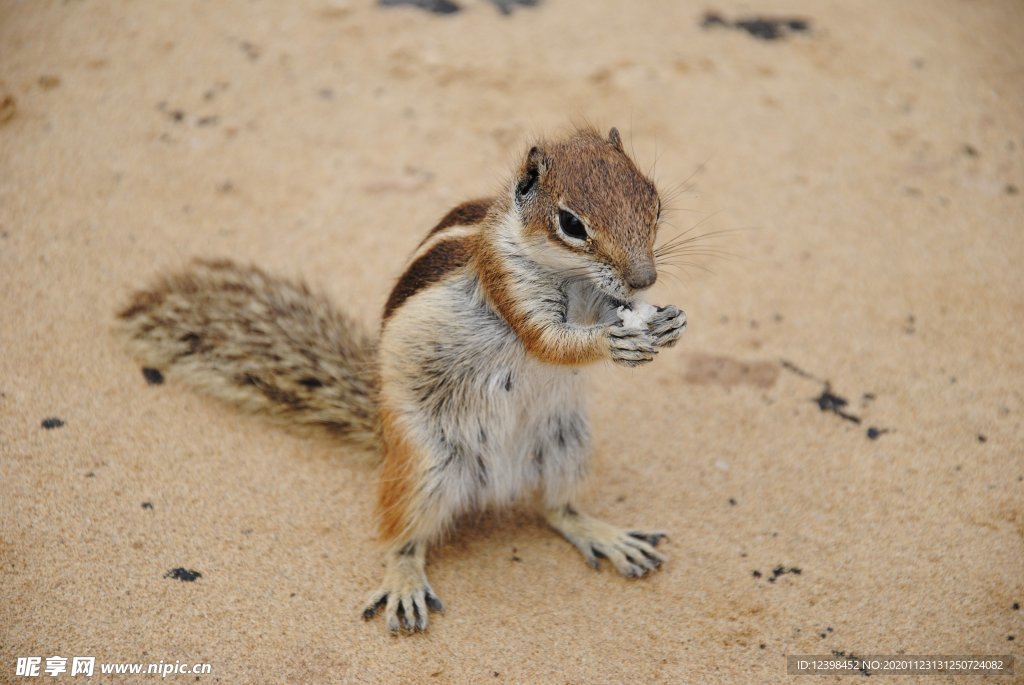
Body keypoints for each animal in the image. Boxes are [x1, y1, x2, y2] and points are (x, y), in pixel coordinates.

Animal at [117, 125, 688, 634]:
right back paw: (404, 581)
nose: (645, 279)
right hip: (425, 465)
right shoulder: (508, 284)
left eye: (654, 201)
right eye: (571, 223)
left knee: (559, 508)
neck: (575, 281)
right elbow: (548, 341)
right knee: (402, 535)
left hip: (567, 442)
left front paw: (668, 323)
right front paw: (613, 341)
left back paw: (605, 535)